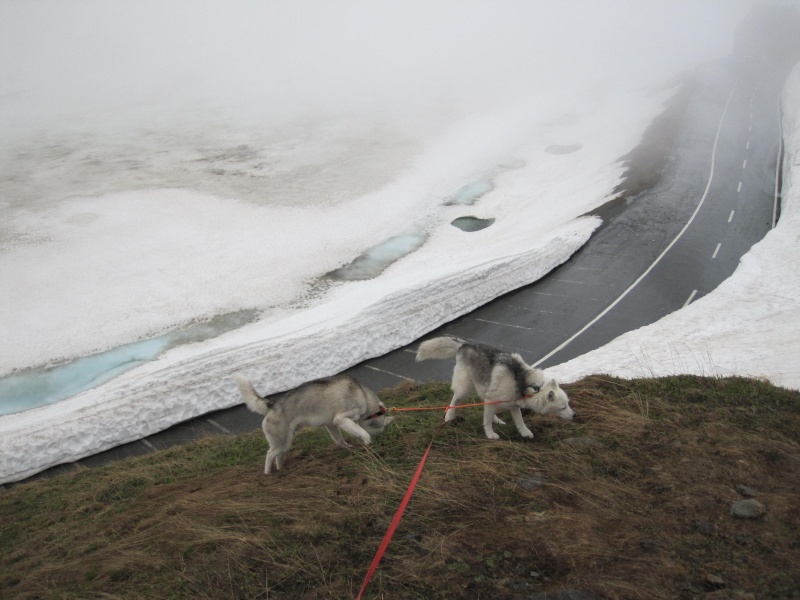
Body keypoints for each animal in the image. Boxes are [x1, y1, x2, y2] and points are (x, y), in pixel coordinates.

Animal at [231, 376, 394, 474]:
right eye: (381, 430)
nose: (381, 440)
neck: (364, 396)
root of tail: (272, 404)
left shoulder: (332, 425)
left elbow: (340, 440)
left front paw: (349, 448)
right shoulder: (341, 419)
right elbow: (362, 431)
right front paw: (367, 441)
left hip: (287, 442)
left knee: (278, 456)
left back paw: (281, 469)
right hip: (281, 443)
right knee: (269, 454)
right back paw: (268, 474)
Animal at [412, 338, 576, 440]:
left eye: (568, 404)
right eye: (562, 407)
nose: (575, 416)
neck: (528, 384)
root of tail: (465, 345)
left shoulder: (513, 405)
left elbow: (519, 421)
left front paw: (525, 433)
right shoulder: (494, 399)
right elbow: (486, 421)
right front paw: (490, 434)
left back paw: (497, 419)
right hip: (465, 388)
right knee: (455, 399)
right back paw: (450, 415)